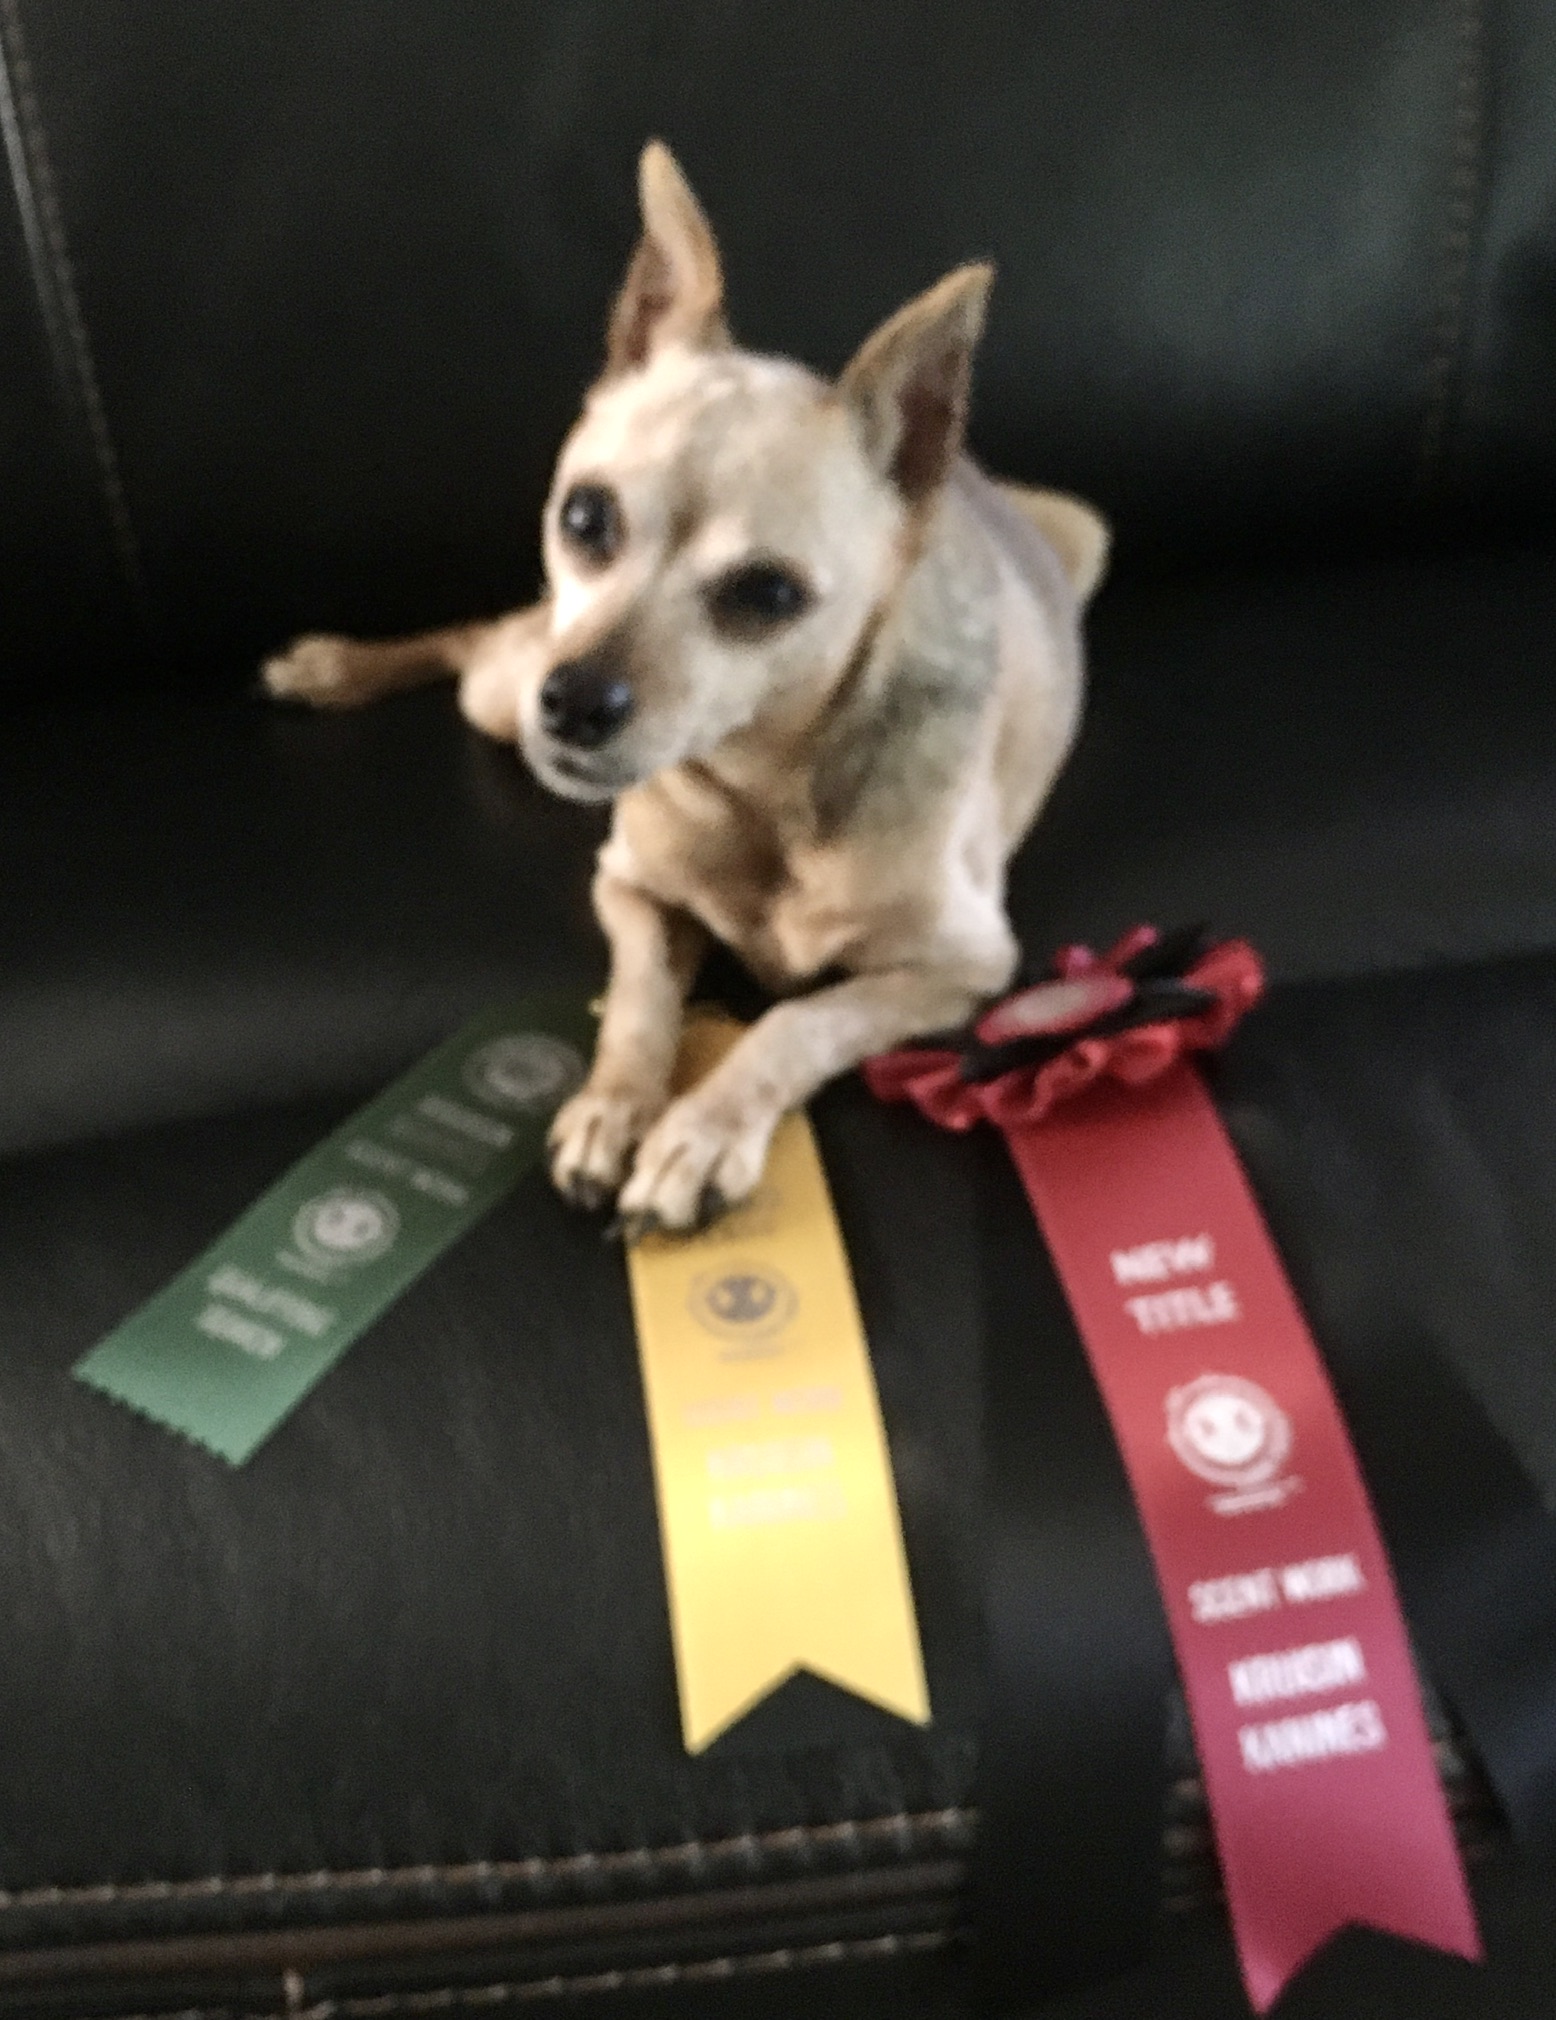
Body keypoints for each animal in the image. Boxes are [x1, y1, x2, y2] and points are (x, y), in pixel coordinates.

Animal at [264, 142, 1108, 1236]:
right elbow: (638, 1006)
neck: (762, 792)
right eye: (584, 518)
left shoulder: (961, 969)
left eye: (767, 594)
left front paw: (699, 1132)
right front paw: (614, 1107)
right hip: (503, 685)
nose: (574, 701)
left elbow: (798, 1020)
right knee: (474, 641)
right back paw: (333, 666)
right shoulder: (627, 888)